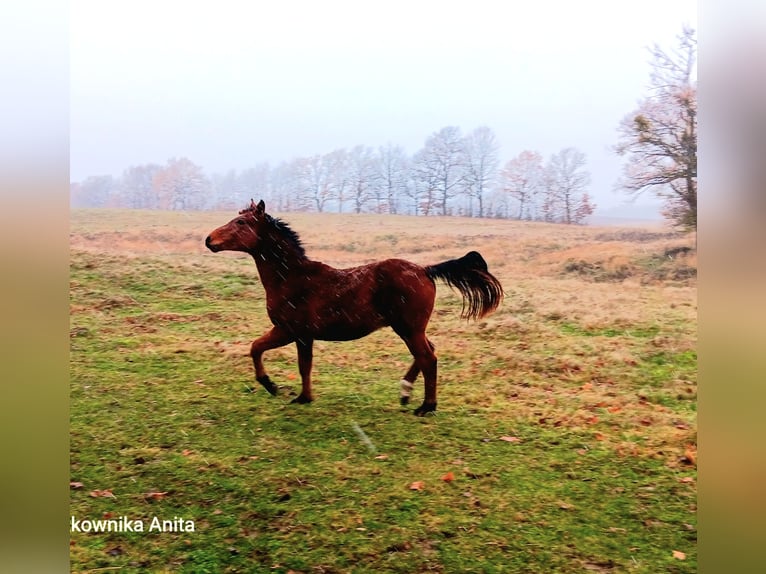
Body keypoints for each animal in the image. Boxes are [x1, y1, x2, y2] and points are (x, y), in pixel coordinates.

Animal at [206, 200, 504, 416]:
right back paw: (405, 392)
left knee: (428, 358)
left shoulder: (292, 331)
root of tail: (425, 270)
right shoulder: (296, 334)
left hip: (408, 329)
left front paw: (281, 389)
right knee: (427, 352)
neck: (291, 278)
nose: (209, 240)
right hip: (411, 329)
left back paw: (426, 406)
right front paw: (293, 394)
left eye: (241, 222)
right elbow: (288, 360)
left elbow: (271, 353)